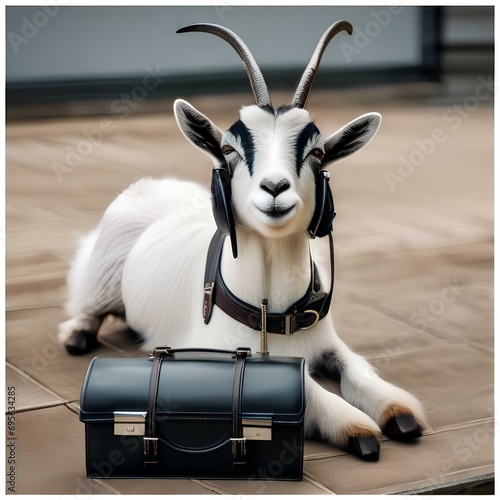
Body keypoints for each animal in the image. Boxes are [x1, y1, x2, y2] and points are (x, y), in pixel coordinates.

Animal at [58, 22, 426, 460]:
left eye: (317, 152)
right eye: (229, 148)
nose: (275, 187)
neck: (272, 315)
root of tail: (156, 183)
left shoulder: (328, 341)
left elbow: (358, 368)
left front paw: (400, 411)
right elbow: (307, 389)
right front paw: (357, 428)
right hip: (101, 274)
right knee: (87, 302)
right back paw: (76, 334)